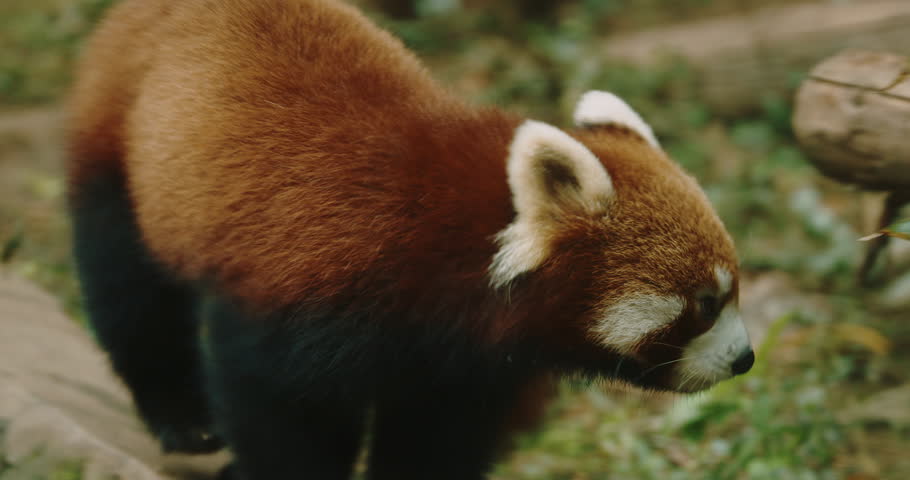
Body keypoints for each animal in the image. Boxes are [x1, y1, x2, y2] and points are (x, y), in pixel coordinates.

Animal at [66, 0, 754, 478]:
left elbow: (436, 439)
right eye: (704, 304)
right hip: (120, 151)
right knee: (128, 292)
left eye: (731, 292)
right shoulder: (304, 294)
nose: (745, 359)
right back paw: (182, 419)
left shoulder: (465, 367)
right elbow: (280, 408)